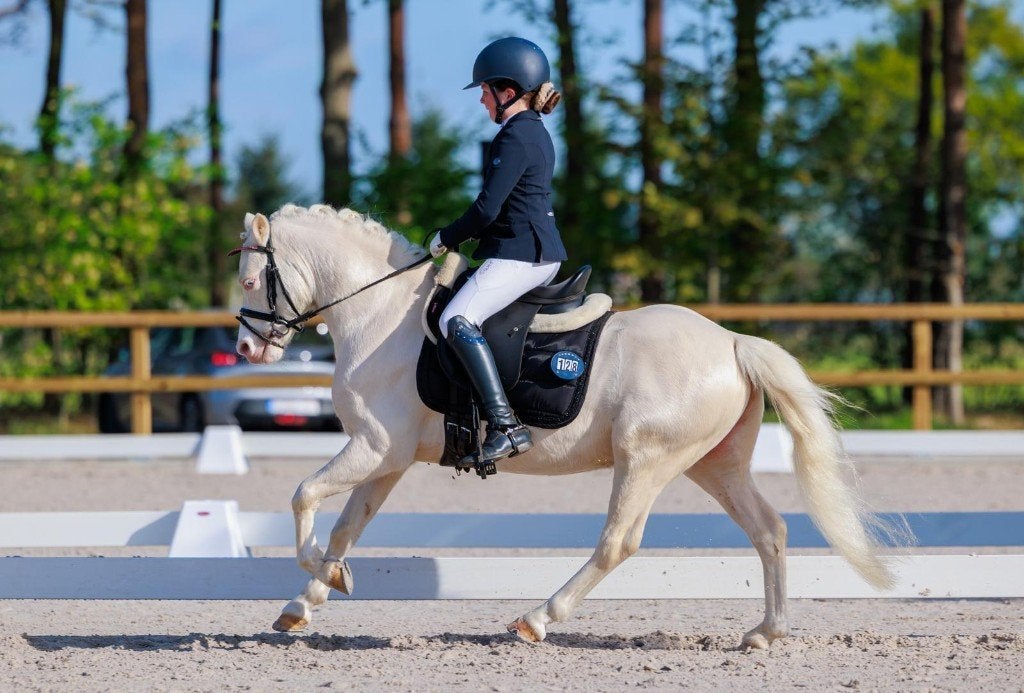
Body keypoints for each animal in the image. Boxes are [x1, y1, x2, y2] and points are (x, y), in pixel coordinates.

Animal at [233, 204, 900, 649]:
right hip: (716, 464)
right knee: (770, 529)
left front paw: (320, 575)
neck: (380, 313)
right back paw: (766, 632)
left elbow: (303, 496)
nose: (247, 347)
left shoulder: (374, 447)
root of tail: (733, 342)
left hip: (646, 459)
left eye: (250, 280)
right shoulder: (387, 457)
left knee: (618, 543)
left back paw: (537, 619)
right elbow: (348, 526)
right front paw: (308, 600)